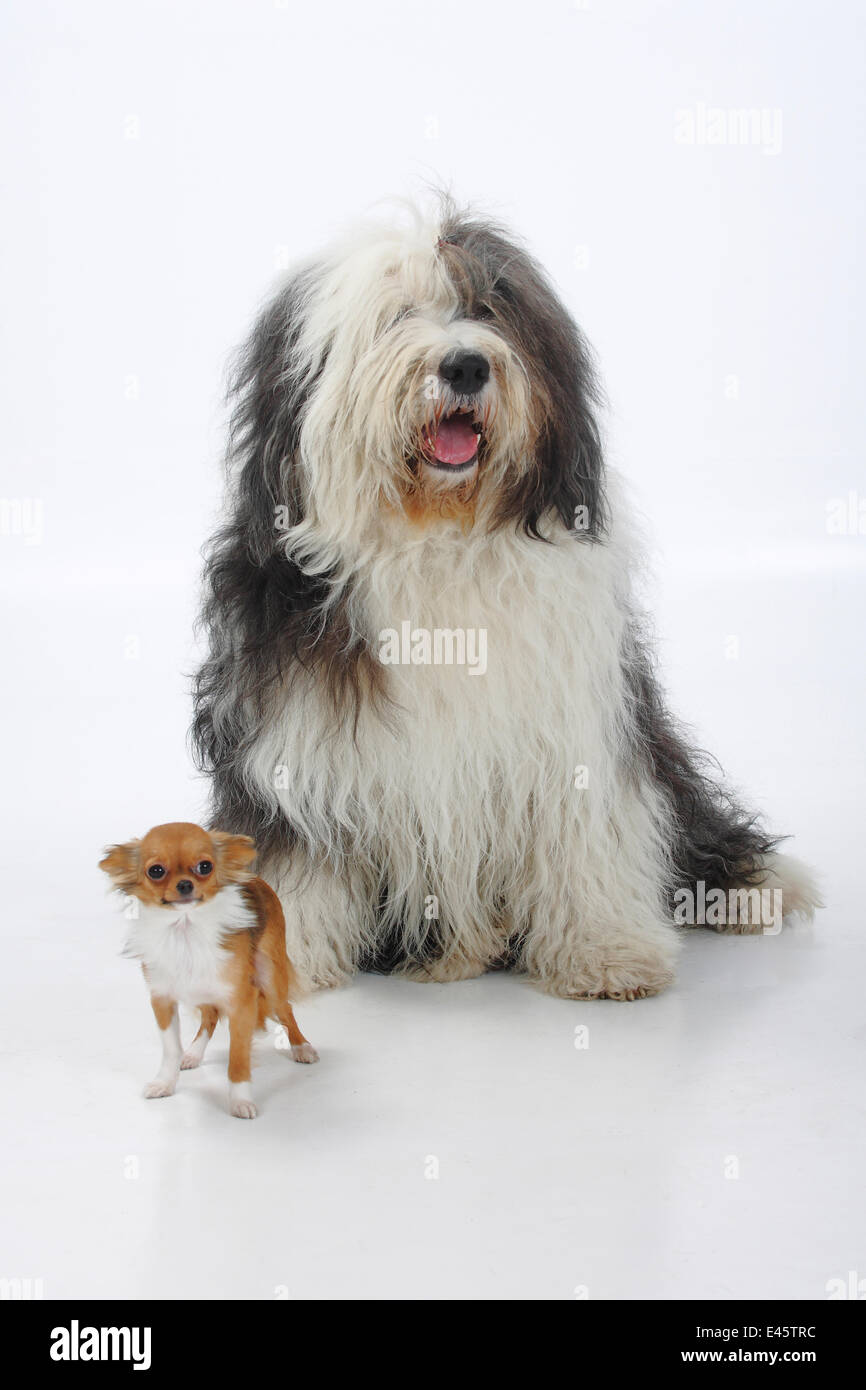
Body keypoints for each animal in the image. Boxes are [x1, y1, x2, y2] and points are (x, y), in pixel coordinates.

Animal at [191, 195, 817, 1000]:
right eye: (396, 315)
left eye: (489, 307)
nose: (464, 364)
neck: (438, 536)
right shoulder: (291, 735)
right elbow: (297, 859)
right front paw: (277, 961)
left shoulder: (573, 725)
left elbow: (582, 836)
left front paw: (605, 950)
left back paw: (753, 885)